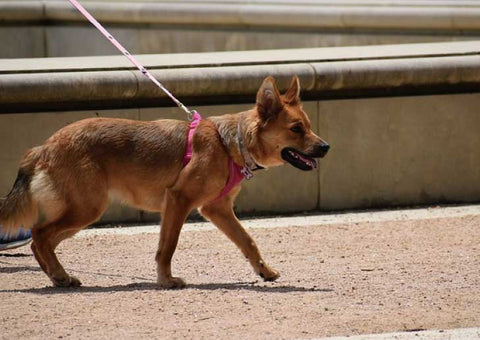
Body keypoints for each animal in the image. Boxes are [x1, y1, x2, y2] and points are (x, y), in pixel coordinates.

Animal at [0, 75, 328, 288]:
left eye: (309, 126)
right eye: (296, 129)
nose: (326, 147)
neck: (228, 144)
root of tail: (44, 146)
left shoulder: (218, 210)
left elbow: (247, 241)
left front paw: (264, 271)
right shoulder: (179, 201)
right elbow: (168, 246)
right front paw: (166, 280)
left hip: (82, 214)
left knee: (42, 241)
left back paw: (59, 276)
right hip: (86, 209)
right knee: (40, 234)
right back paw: (58, 275)